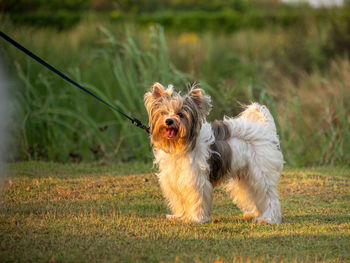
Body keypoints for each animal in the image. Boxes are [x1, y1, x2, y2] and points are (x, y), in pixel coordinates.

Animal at [144, 82, 284, 225]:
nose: (169, 121)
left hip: (262, 172)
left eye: (181, 114)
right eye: (163, 112)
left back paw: (269, 218)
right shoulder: (174, 179)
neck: (180, 145)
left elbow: (197, 198)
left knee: (268, 195)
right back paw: (254, 213)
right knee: (254, 194)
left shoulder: (196, 179)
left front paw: (196, 218)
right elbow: (180, 199)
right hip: (247, 175)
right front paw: (180, 216)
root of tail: (265, 129)